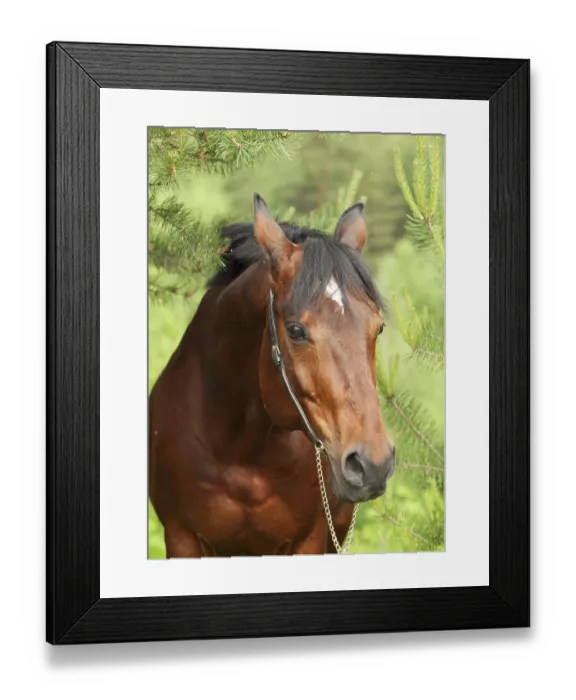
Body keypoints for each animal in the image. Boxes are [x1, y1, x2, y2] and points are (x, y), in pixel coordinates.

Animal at [148, 194, 396, 557]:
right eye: (295, 331)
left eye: (378, 328)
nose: (373, 463)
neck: (241, 453)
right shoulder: (182, 539)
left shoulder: (309, 540)